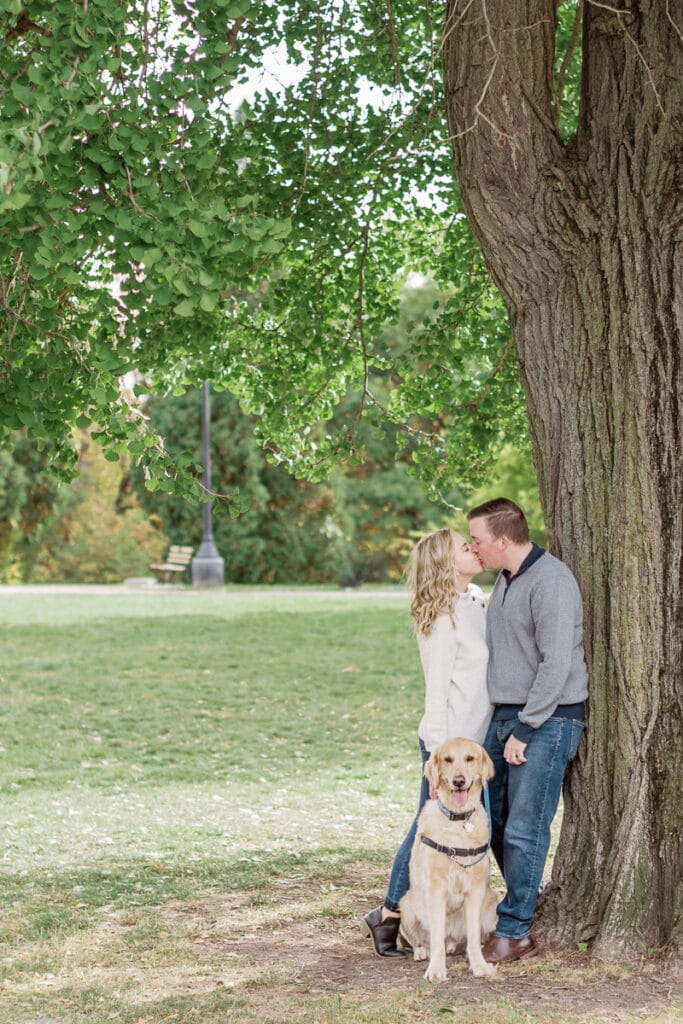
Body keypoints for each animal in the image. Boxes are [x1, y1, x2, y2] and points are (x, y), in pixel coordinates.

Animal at [397, 733, 499, 978]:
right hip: (406, 905)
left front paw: (479, 965)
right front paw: (436, 969)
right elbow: (436, 938)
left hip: (492, 905)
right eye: (448, 759)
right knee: (420, 940)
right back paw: (421, 952)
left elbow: (473, 937)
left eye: (470, 758)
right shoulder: (436, 888)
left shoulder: (475, 889)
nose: (459, 781)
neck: (458, 819)